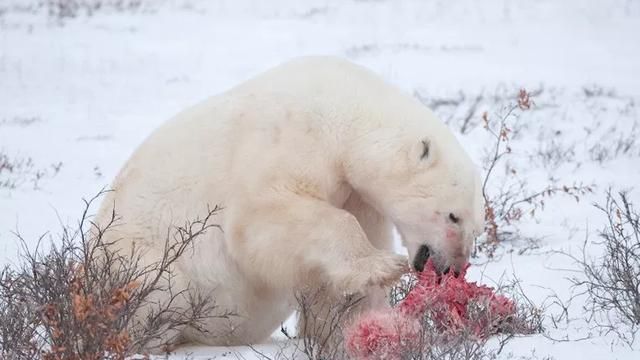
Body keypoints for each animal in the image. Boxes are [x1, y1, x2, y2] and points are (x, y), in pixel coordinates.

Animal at [95, 56, 484, 352]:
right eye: (453, 216)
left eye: (477, 227)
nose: (453, 270)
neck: (343, 109)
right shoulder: (288, 137)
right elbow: (263, 216)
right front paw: (383, 265)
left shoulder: (355, 193)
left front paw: (360, 329)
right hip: (139, 261)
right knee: (160, 290)